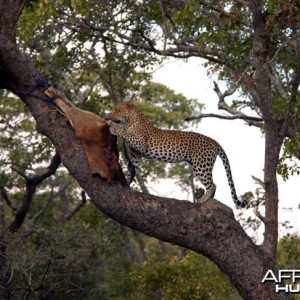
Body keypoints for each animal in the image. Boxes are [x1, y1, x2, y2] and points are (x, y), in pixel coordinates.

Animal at [105, 101, 248, 209]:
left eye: (117, 109)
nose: (108, 117)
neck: (131, 121)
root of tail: (214, 141)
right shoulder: (135, 156)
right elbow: (132, 170)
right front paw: (127, 183)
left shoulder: (141, 142)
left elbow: (125, 133)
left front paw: (113, 127)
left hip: (201, 165)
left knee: (213, 185)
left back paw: (203, 199)